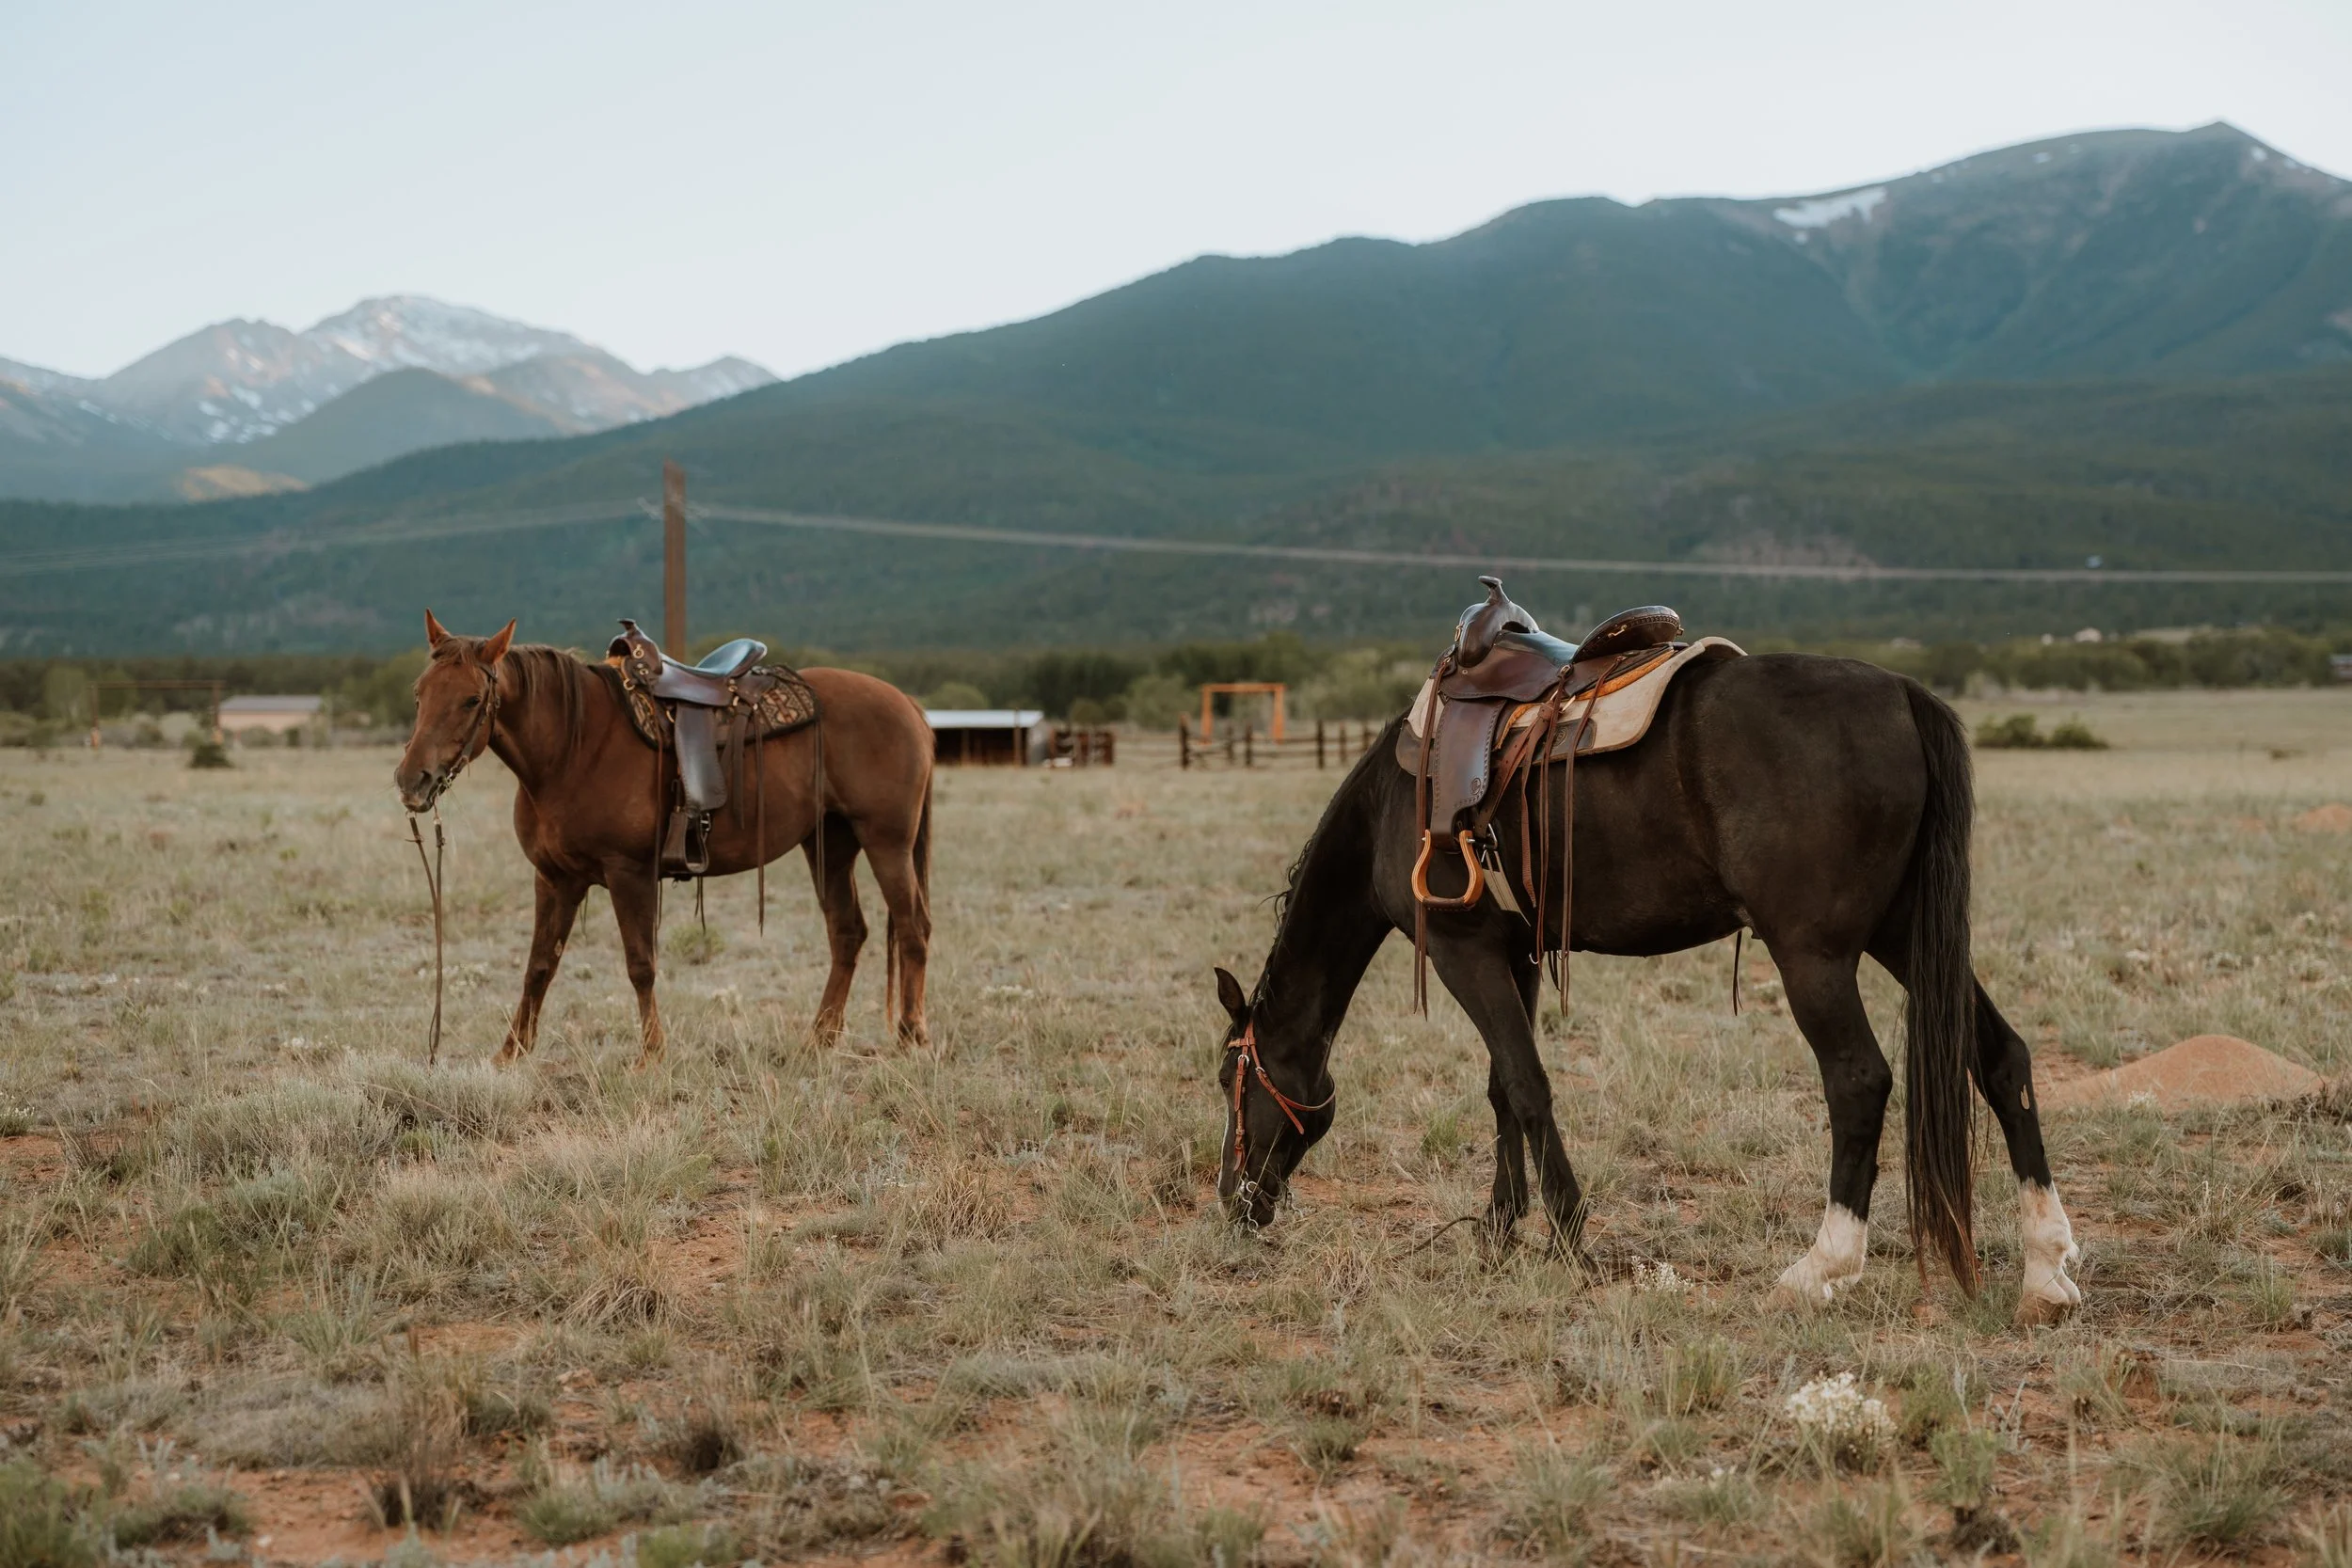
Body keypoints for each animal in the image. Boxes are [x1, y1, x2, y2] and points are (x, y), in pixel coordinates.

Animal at [393, 613, 936, 1062]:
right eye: (419, 694)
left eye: (470, 699)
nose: (411, 781)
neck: (572, 749)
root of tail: (908, 704)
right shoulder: (555, 878)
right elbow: (540, 965)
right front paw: (510, 1053)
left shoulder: (628, 873)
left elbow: (640, 964)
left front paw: (651, 1055)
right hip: (830, 844)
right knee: (847, 931)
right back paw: (820, 1038)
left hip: (887, 842)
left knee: (912, 927)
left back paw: (911, 1035)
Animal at [1210, 653, 2083, 1324]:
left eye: (1229, 1078)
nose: (1232, 1200)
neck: (1394, 804)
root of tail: (1900, 692)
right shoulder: (1517, 951)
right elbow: (1503, 1089)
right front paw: (1498, 1226)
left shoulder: (1464, 951)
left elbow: (1526, 1084)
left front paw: (1566, 1231)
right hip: (1905, 935)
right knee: (2002, 1057)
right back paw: (2046, 1271)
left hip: (1817, 955)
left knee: (1859, 1081)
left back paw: (1820, 1266)